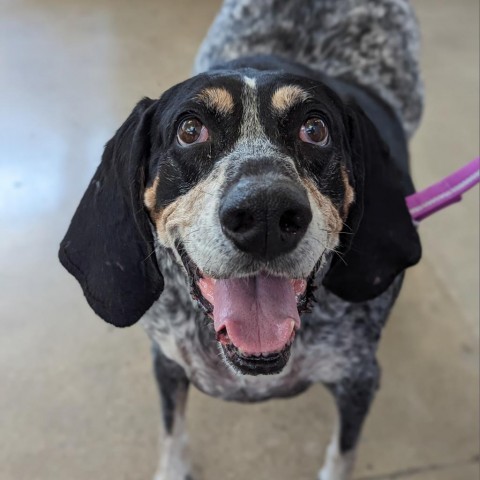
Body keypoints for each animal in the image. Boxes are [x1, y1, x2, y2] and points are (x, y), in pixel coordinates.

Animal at [58, 1, 422, 478]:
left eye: (315, 129)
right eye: (189, 130)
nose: (265, 213)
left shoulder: (359, 380)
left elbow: (342, 456)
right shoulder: (168, 361)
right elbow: (172, 433)